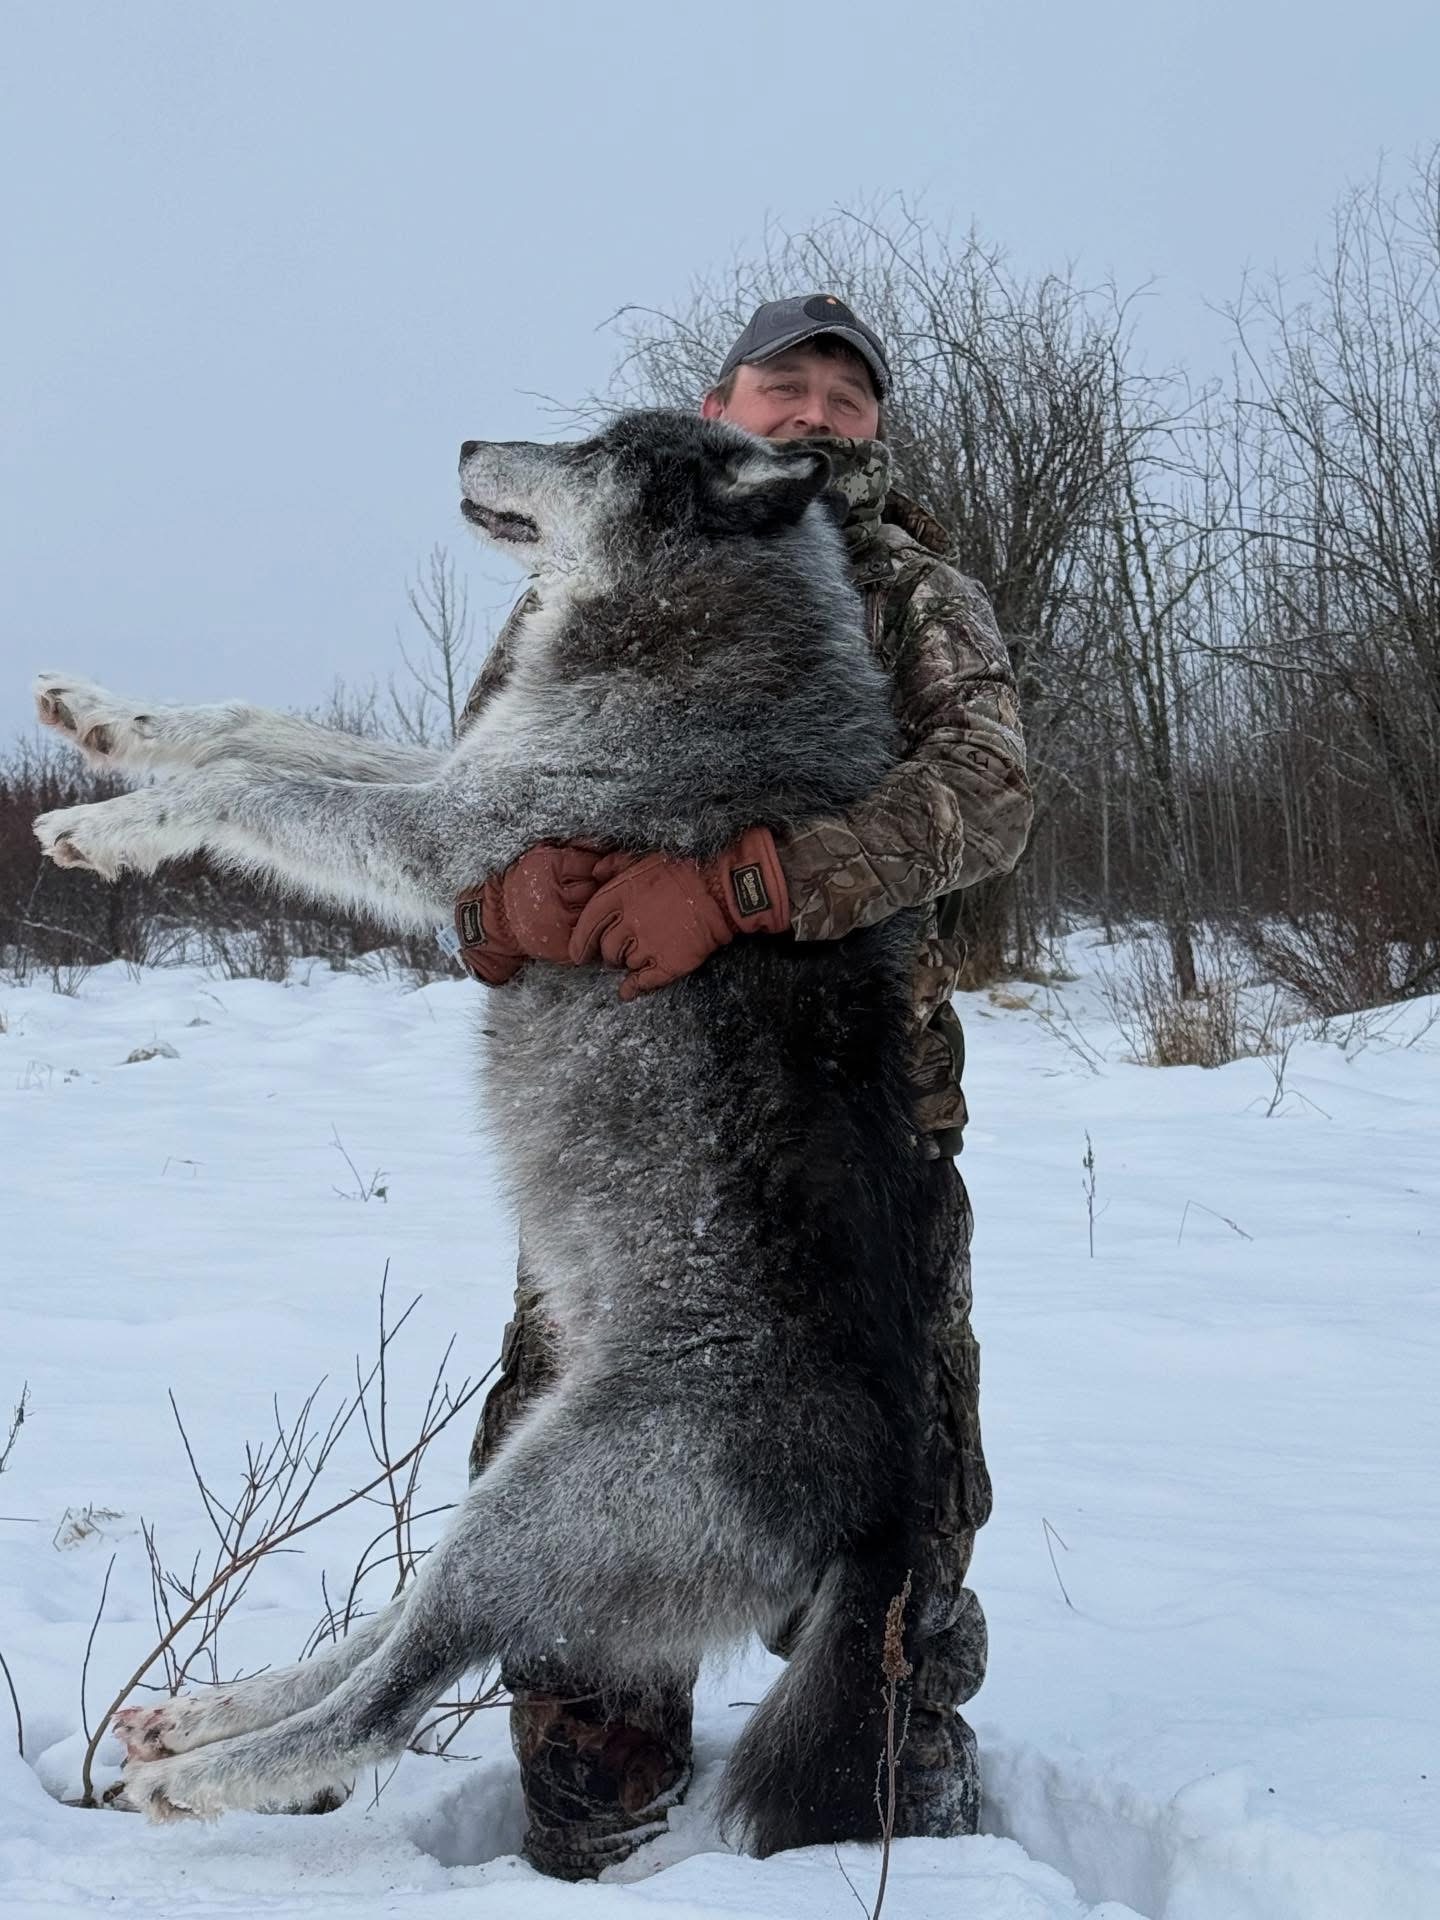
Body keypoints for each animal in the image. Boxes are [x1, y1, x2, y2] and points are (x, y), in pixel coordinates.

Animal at [32, 411, 940, 1855]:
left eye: (606, 443)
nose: (464, 438)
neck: (704, 627)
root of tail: (880, 1507)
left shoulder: (453, 829)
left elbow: (254, 782)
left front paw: (103, 824)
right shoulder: (451, 771)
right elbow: (255, 726)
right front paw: (104, 721)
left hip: (538, 1509)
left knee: (393, 1694)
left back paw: (198, 1776)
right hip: (515, 1480)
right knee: (390, 1632)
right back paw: (198, 1717)